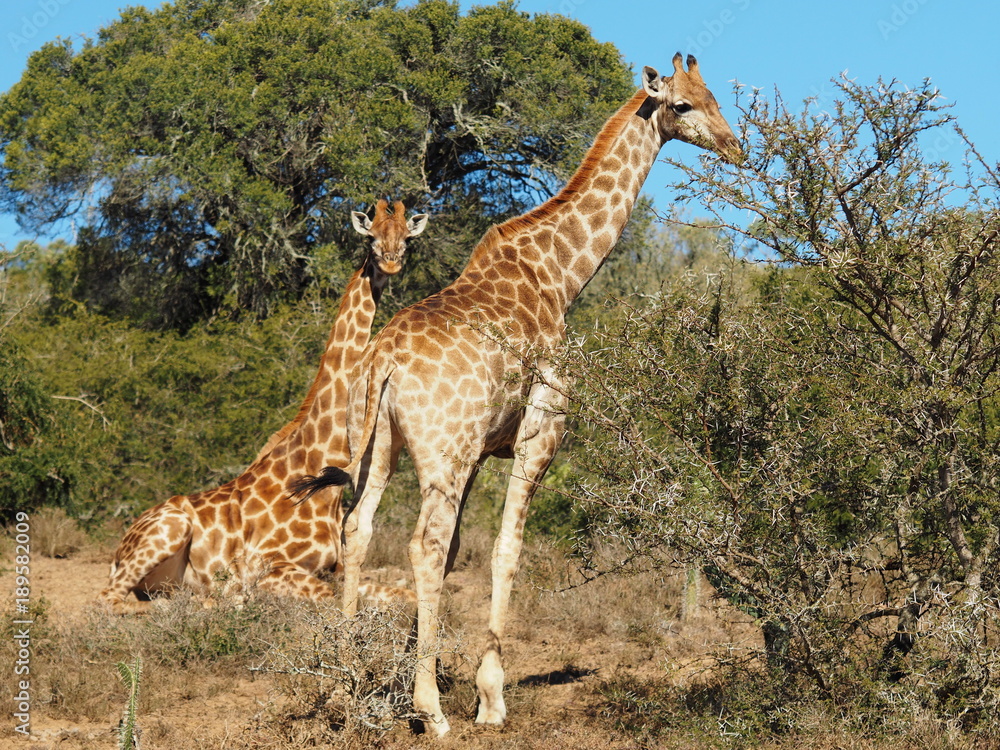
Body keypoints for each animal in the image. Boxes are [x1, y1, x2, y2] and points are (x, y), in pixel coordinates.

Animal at [98, 200, 427, 609]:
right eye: (370, 236)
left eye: (407, 237)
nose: (391, 261)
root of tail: (117, 549)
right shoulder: (269, 569)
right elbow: (328, 599)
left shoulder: (334, 570)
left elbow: (404, 596)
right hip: (170, 529)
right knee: (111, 599)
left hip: (162, 577)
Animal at [290, 54, 741, 735]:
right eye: (682, 106)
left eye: (713, 95)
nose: (736, 146)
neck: (561, 275)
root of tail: (385, 360)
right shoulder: (540, 427)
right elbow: (505, 550)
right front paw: (489, 697)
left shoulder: (479, 449)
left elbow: (459, 552)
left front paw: (420, 672)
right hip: (440, 453)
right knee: (421, 544)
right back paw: (432, 712)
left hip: (378, 443)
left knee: (359, 528)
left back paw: (344, 680)